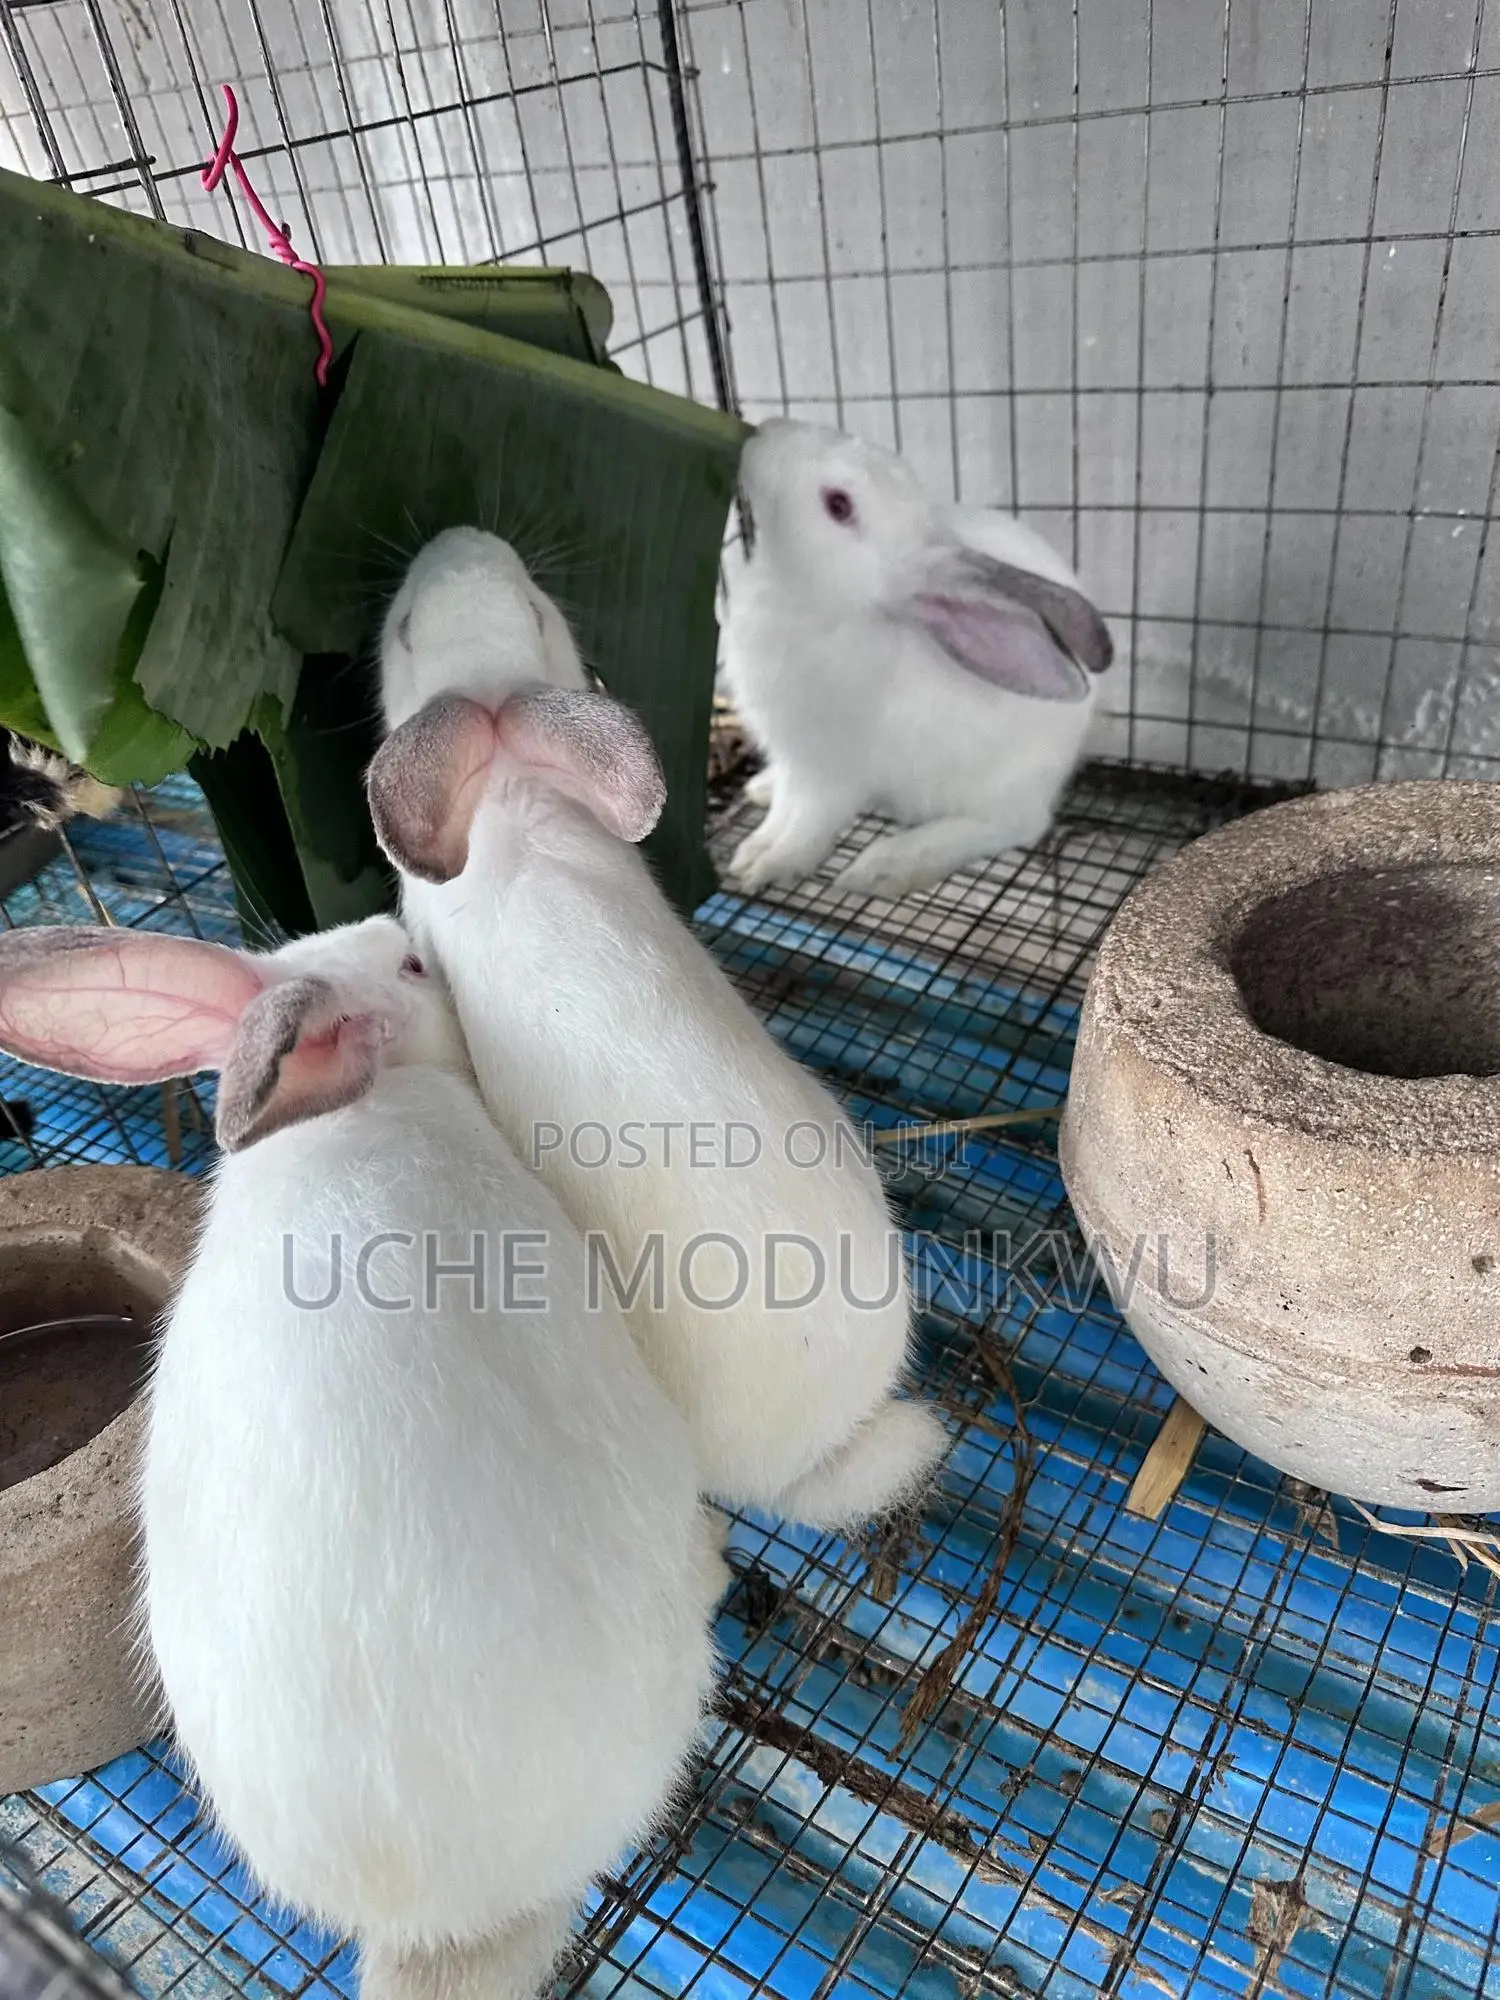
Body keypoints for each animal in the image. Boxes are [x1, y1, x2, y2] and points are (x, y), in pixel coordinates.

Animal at [720, 416, 1115, 900]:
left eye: (838, 505)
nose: (764, 430)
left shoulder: (831, 774)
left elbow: (804, 826)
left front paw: (765, 865)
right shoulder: (796, 757)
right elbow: (781, 812)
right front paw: (752, 851)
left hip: (997, 785)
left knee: (1017, 824)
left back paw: (888, 866)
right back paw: (762, 786)